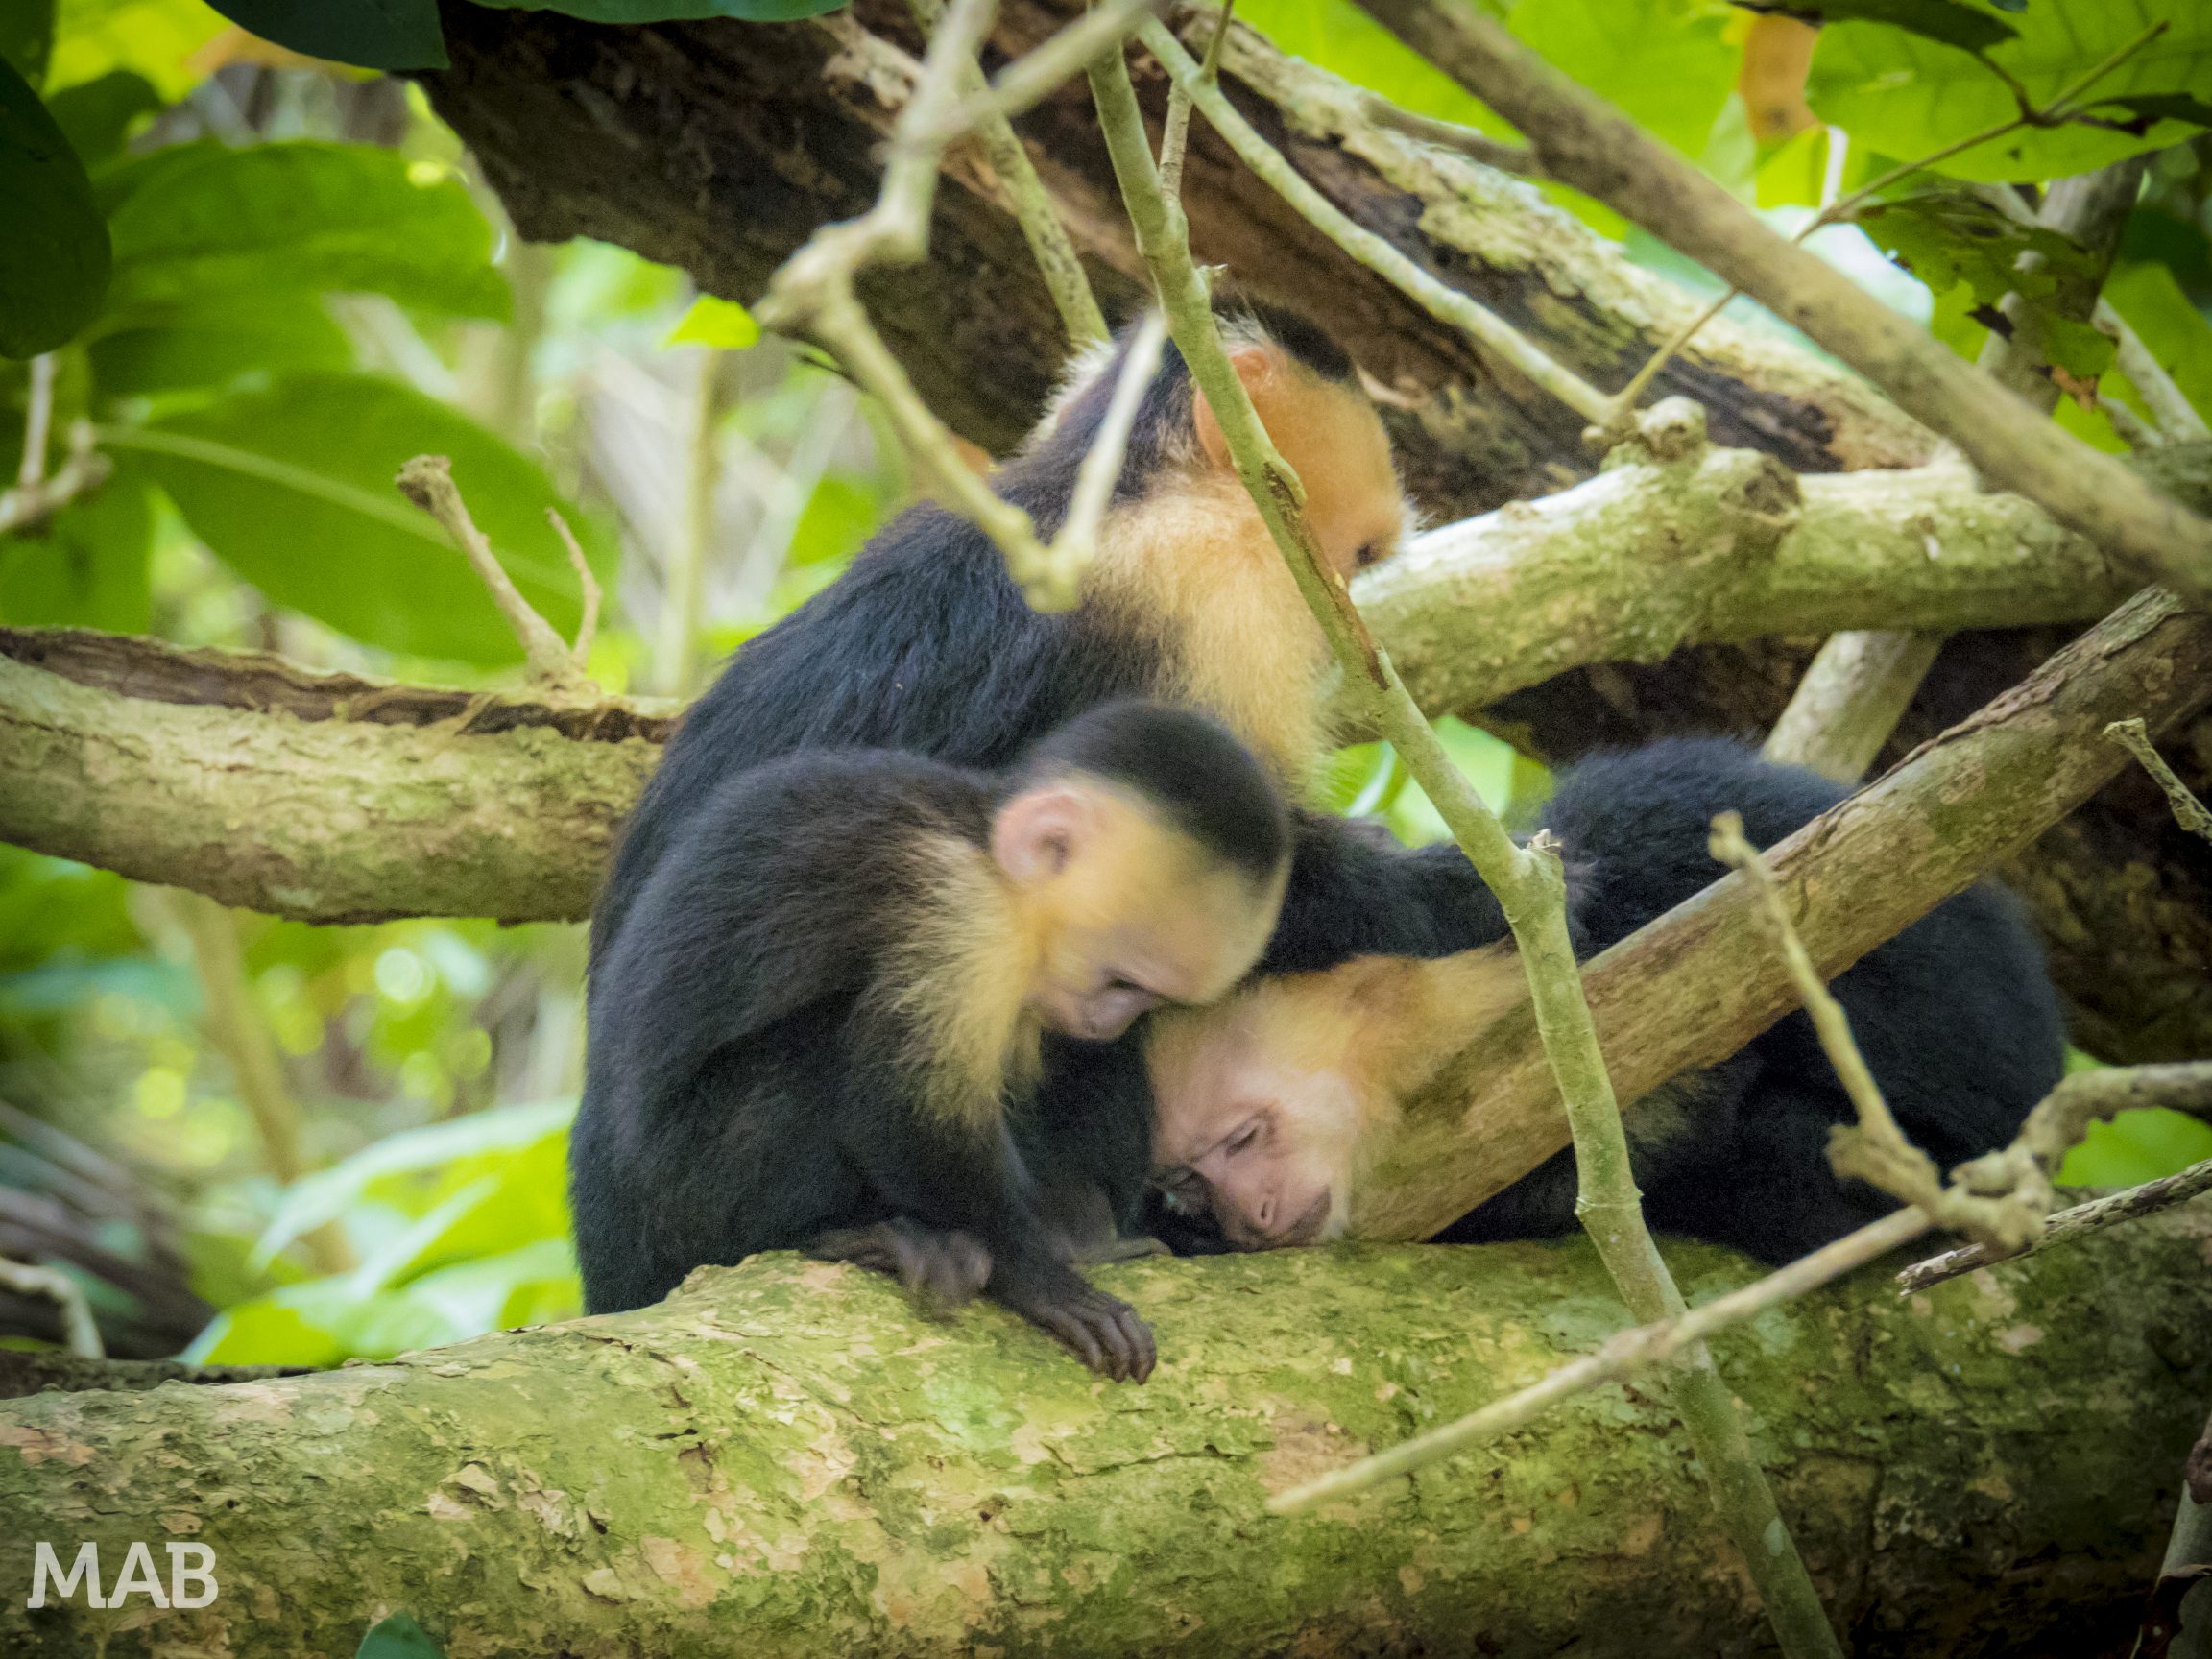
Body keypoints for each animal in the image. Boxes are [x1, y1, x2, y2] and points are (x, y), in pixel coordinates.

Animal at [570, 700, 1293, 1381]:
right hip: (686, 1193)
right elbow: (900, 1112)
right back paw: (851, 1238)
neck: (983, 846)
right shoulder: (964, 915)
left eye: (1150, 998)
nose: (1107, 1023)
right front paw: (1041, 1279)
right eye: (1121, 981)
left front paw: (1081, 1234)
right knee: (824, 1061)